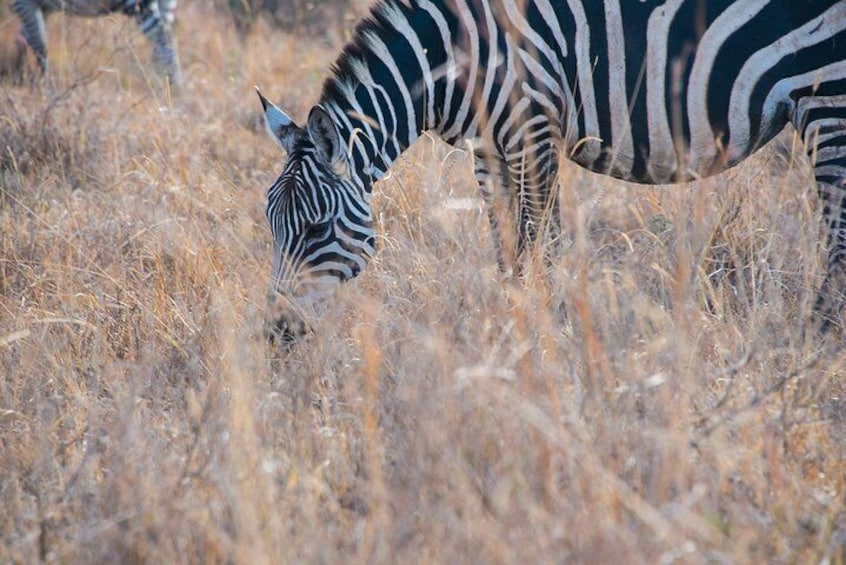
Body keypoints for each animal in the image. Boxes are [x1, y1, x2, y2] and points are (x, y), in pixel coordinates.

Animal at [10, 0, 184, 87]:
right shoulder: (43, 7)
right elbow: (27, 37)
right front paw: (23, 80)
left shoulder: (23, 3)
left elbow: (39, 46)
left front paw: (40, 90)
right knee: (165, 45)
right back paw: (167, 88)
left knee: (165, 44)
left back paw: (176, 93)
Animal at [256, 0, 846, 342]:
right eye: (271, 227)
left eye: (316, 228)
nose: (277, 332)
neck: (451, 59)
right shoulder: (488, 150)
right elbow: (505, 246)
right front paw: (510, 324)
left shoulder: (533, 128)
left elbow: (542, 240)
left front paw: (547, 331)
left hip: (827, 96)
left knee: (837, 232)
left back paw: (817, 340)